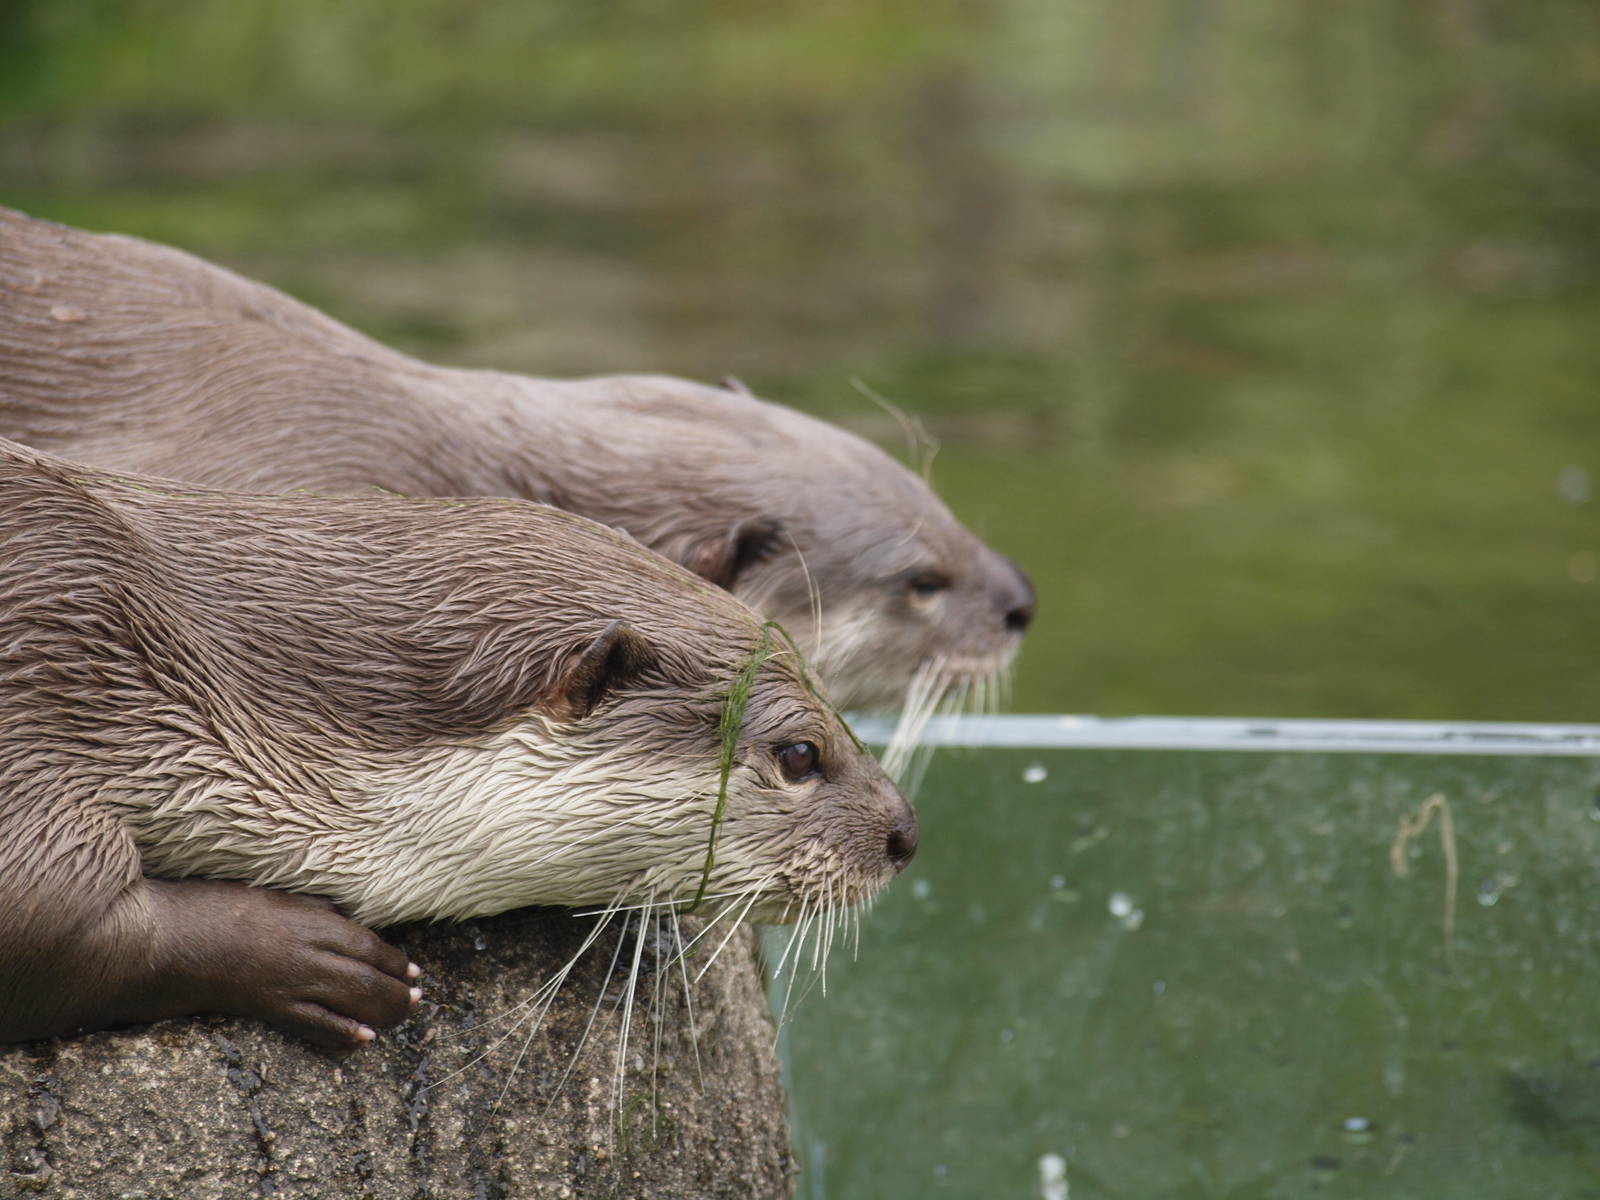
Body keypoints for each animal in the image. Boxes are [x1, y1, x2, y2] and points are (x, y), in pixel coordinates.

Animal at [0, 437, 914, 1052]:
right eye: (799, 755)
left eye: (837, 706)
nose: (906, 832)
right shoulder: (46, 663)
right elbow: (49, 920)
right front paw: (309, 956)